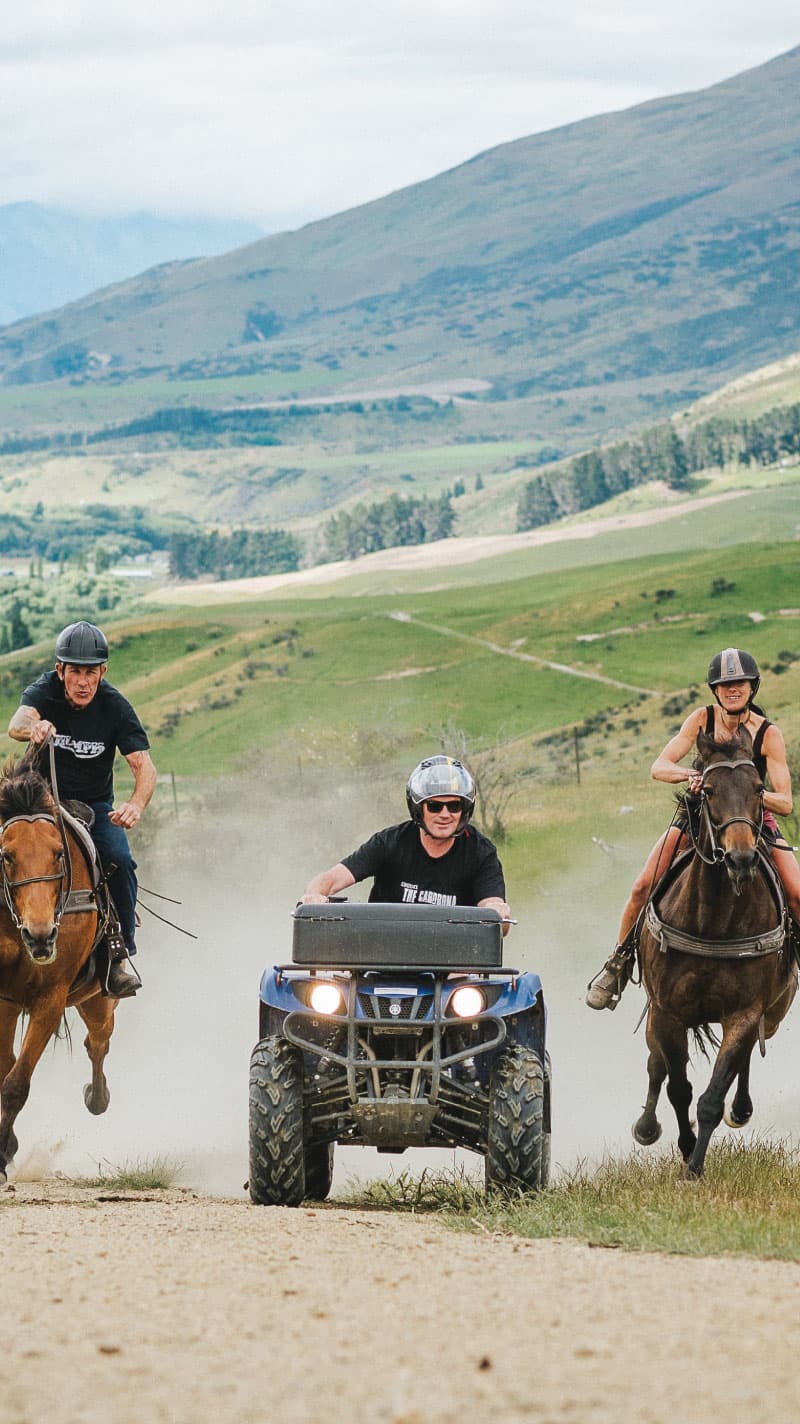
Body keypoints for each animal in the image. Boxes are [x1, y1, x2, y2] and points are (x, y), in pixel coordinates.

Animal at [0, 760, 118, 1183]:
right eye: (6, 855)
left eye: (58, 855)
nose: (41, 935)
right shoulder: (3, 1001)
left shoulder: (49, 1001)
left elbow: (16, 1084)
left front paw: (2, 1156)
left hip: (99, 998)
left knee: (98, 1041)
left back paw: (97, 1096)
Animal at [632, 724, 797, 1178]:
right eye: (707, 790)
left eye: (759, 788)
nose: (740, 858)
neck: (712, 919)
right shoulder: (668, 1011)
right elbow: (678, 1088)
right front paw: (686, 1149)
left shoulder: (744, 1014)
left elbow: (710, 1097)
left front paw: (694, 1168)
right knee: (655, 1066)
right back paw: (646, 1127)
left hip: (772, 1013)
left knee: (745, 1061)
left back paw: (740, 1109)